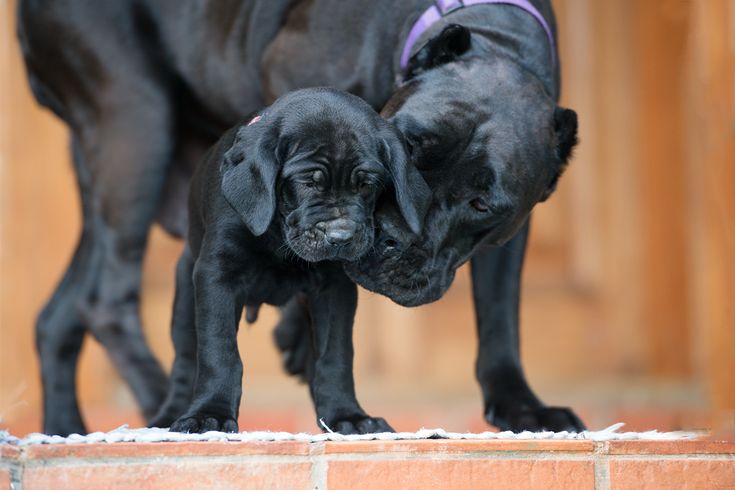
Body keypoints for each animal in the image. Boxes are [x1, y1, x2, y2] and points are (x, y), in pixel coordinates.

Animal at [154, 88, 432, 432]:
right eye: (307, 182)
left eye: (366, 184)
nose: (341, 236)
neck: (278, 234)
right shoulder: (217, 273)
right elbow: (219, 351)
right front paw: (210, 414)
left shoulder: (334, 289)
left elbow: (335, 356)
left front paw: (347, 415)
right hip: (185, 295)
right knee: (184, 361)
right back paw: (168, 417)